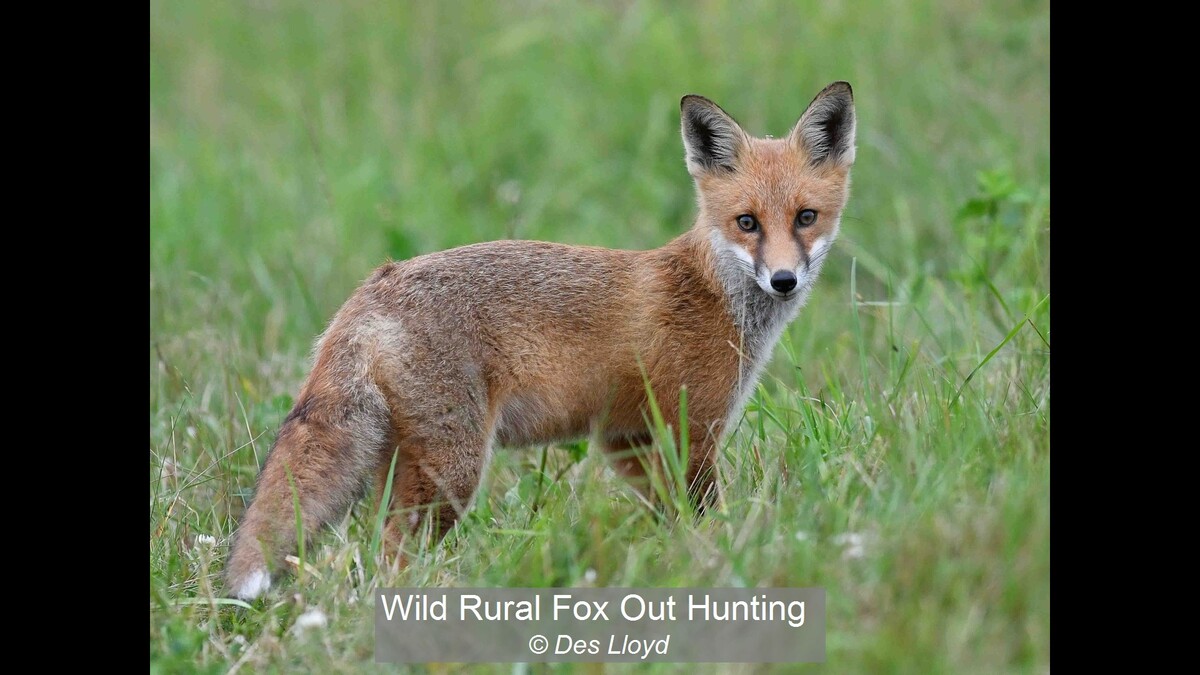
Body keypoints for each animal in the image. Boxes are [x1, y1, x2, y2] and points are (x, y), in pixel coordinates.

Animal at [225, 82, 856, 600]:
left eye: (805, 217)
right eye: (747, 223)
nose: (783, 280)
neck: (712, 294)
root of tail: (372, 287)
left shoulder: (626, 440)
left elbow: (670, 523)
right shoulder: (690, 430)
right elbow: (707, 523)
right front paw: (718, 567)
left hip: (400, 468)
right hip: (453, 471)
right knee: (392, 557)